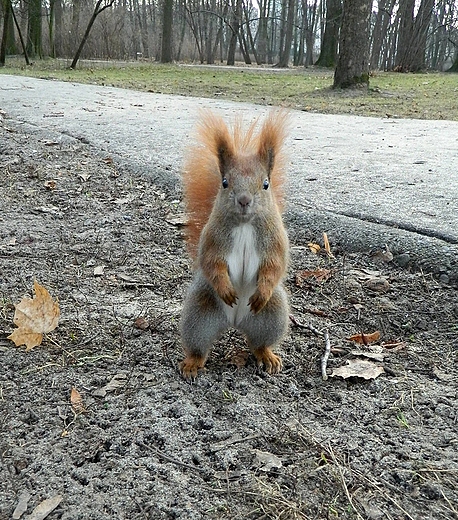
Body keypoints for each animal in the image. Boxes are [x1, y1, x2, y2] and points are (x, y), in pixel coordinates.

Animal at [180, 111, 290, 380]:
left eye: (265, 184)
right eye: (225, 182)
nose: (244, 200)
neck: (244, 224)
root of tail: (235, 322)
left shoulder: (275, 241)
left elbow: (275, 266)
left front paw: (263, 290)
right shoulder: (213, 240)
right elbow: (211, 263)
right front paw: (226, 289)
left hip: (272, 316)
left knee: (258, 343)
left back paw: (267, 356)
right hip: (199, 314)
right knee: (199, 345)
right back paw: (193, 363)